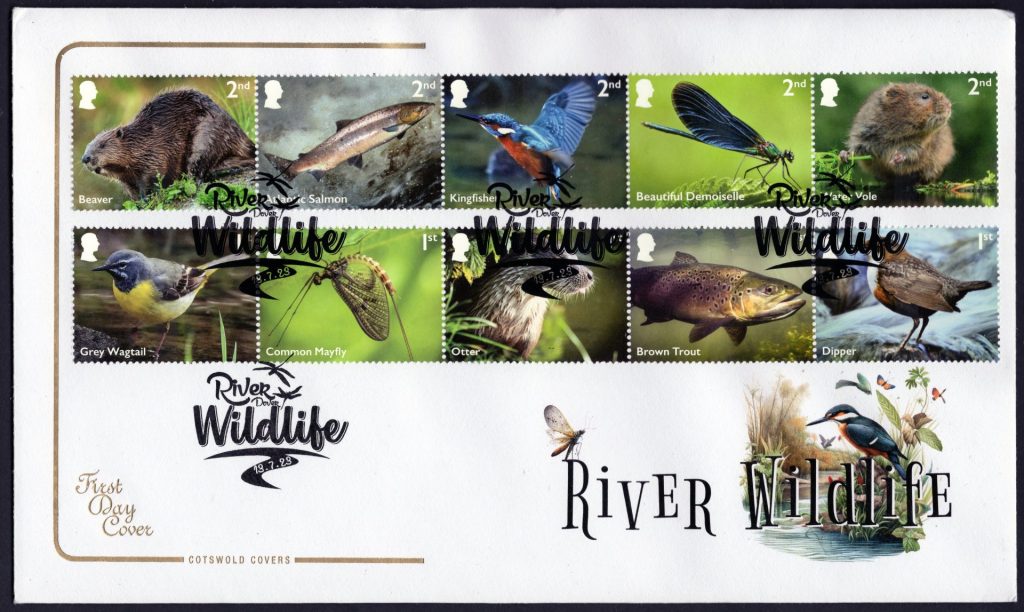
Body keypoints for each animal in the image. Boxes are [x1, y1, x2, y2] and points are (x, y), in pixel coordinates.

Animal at [81, 89, 255, 199]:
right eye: (87, 147)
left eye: (102, 145)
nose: (85, 159)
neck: (139, 142)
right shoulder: (126, 177)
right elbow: (131, 189)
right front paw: (137, 201)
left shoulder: (154, 154)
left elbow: (152, 177)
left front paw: (147, 198)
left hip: (207, 135)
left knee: (198, 170)